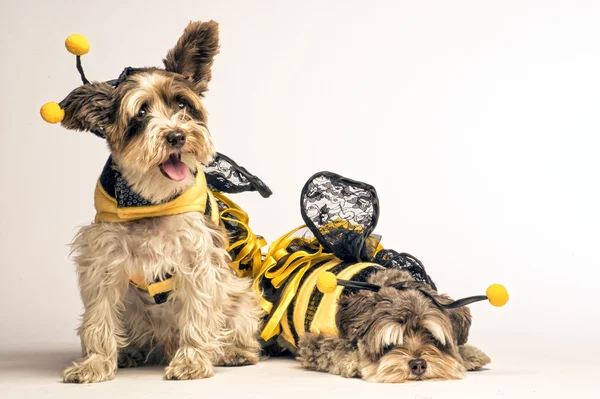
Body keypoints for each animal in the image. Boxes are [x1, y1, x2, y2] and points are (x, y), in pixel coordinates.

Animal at [41, 20, 268, 382]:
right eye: (141, 112)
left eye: (182, 105)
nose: (176, 136)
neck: (150, 200)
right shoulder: (103, 259)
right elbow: (98, 318)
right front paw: (95, 363)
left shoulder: (198, 259)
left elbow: (198, 313)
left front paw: (192, 361)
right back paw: (130, 352)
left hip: (239, 294)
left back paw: (232, 352)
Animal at [255, 173, 504, 384]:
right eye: (390, 343)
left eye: (432, 338)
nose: (418, 365)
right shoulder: (314, 343)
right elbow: (343, 352)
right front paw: (362, 363)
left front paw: (469, 354)